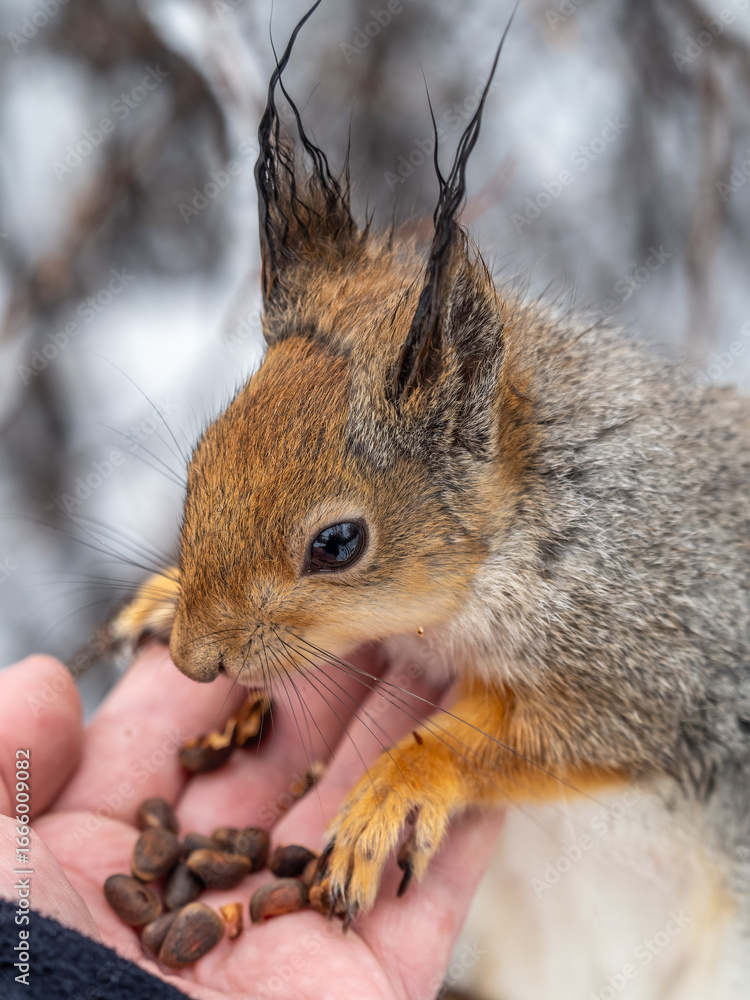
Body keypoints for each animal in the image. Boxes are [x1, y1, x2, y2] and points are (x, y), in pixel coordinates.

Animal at [110, 0, 750, 988]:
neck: (540, 522)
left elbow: (539, 740)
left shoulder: (660, 668)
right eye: (202, 461)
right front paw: (162, 599)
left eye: (337, 544)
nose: (194, 662)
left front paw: (398, 787)